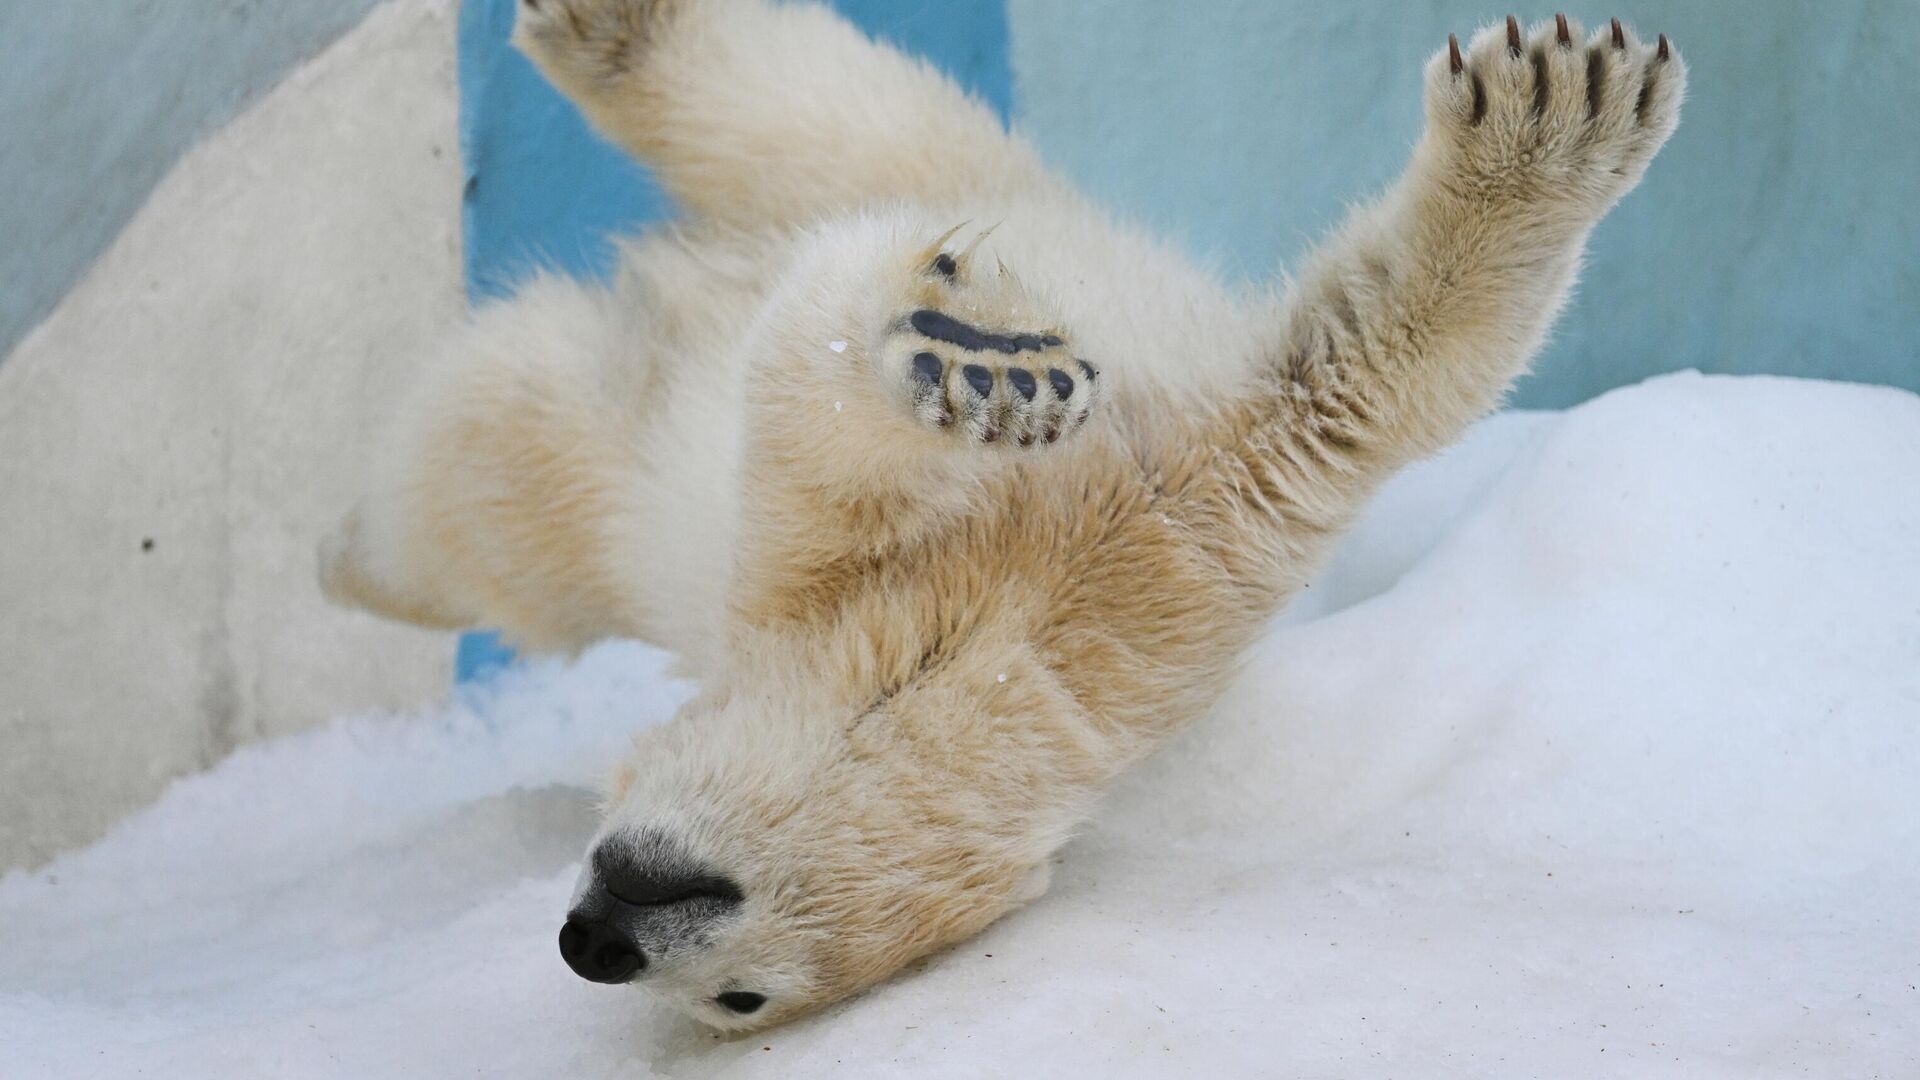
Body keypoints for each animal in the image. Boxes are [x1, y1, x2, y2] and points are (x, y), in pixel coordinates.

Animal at [322, 0, 1689, 1022]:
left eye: (742, 1002)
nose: (587, 939)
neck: (998, 620)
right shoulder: (828, 574)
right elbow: (812, 415)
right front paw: (982, 369)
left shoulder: (1196, 530)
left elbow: (1352, 373)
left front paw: (1548, 128)